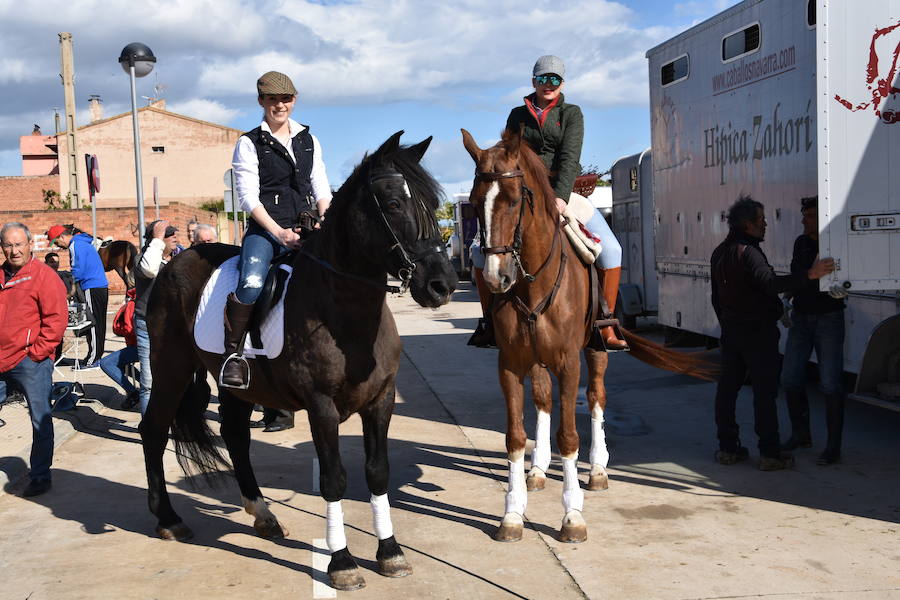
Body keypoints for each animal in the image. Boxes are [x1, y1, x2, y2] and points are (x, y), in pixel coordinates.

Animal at [140, 132, 458, 592]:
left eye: (433, 204)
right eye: (394, 204)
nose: (441, 285)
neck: (346, 315)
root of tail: (172, 263)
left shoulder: (381, 399)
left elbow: (378, 472)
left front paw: (390, 552)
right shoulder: (321, 406)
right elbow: (334, 479)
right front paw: (342, 562)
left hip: (236, 386)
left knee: (235, 437)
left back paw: (263, 516)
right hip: (171, 368)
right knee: (153, 430)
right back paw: (168, 519)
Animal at [464, 129, 712, 548]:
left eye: (513, 200)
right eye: (475, 201)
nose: (498, 276)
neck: (532, 279)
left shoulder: (568, 362)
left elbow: (569, 436)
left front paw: (572, 516)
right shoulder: (510, 364)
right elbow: (515, 437)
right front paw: (512, 513)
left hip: (596, 349)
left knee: (596, 398)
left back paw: (597, 469)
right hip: (536, 359)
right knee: (543, 400)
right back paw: (538, 470)